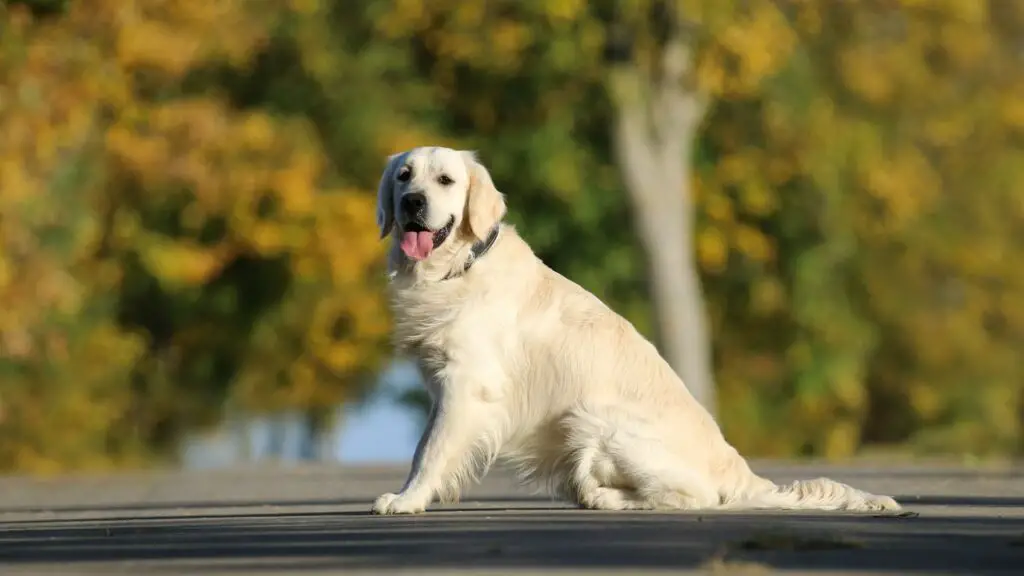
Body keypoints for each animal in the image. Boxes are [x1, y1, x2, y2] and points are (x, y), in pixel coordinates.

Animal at [368, 145, 897, 512]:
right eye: (404, 175)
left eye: (445, 180)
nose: (413, 202)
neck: (458, 269)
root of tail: (740, 469)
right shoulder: (444, 388)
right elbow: (423, 445)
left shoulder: (467, 384)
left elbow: (432, 450)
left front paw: (407, 500)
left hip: (595, 421)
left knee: (694, 496)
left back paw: (603, 497)